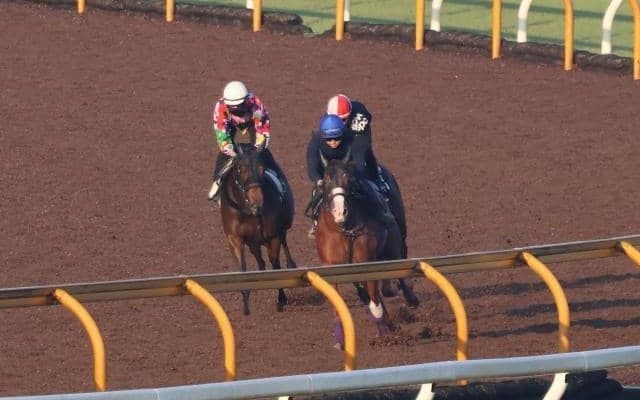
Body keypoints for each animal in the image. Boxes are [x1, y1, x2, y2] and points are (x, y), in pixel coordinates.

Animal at [219, 143, 296, 315]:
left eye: (262, 168)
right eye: (240, 168)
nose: (257, 203)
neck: (248, 212)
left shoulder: (273, 236)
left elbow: (275, 265)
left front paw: (281, 299)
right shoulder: (235, 239)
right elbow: (242, 268)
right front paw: (245, 302)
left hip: (282, 227)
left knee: (283, 244)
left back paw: (291, 265)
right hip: (253, 243)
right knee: (260, 261)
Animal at [314, 159, 407, 347]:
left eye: (349, 179)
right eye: (326, 179)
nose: (339, 212)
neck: (345, 230)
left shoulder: (366, 262)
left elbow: (375, 304)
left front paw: (385, 334)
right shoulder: (333, 268)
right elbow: (339, 303)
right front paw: (340, 338)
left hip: (395, 245)